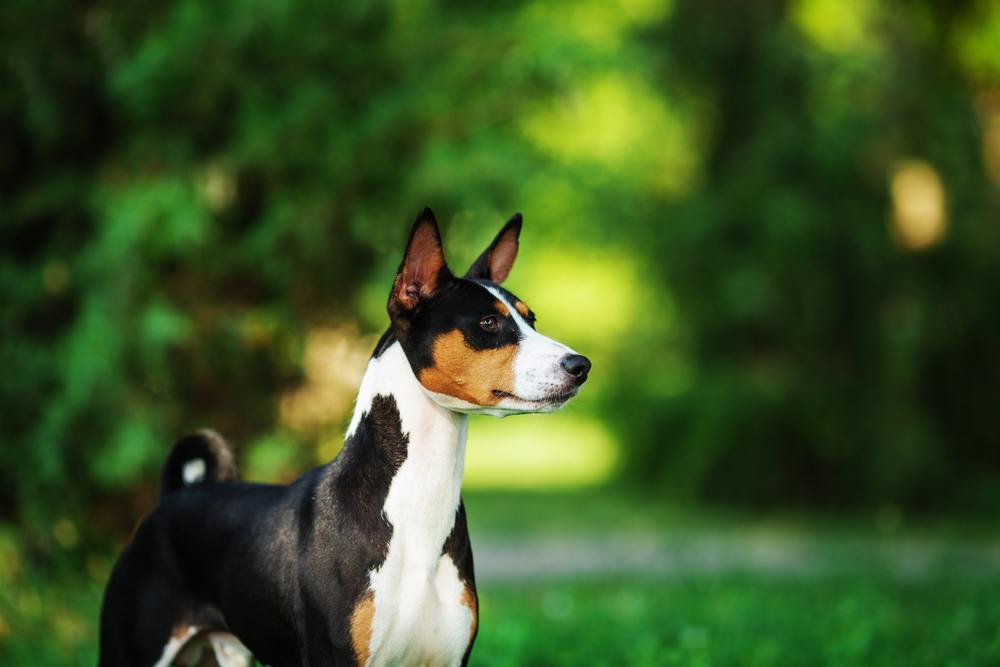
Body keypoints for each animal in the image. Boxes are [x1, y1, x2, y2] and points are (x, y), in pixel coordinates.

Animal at [97, 206, 588, 664]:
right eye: (488, 323)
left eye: (532, 320)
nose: (580, 365)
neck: (416, 511)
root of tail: (173, 499)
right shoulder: (335, 656)